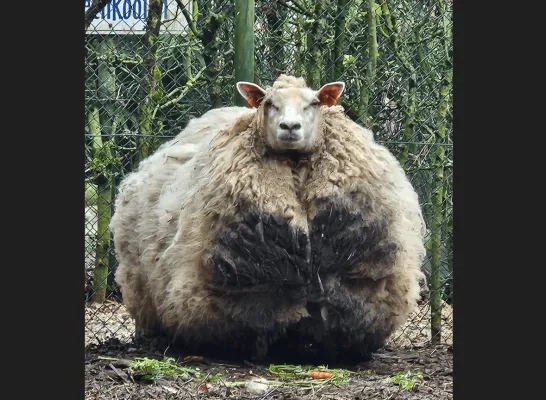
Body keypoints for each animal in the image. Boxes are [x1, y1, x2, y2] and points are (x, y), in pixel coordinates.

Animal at [109, 74, 424, 362]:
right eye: (270, 103)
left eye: (314, 103)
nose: (290, 127)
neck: (295, 168)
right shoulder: (252, 290)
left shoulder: (350, 287)